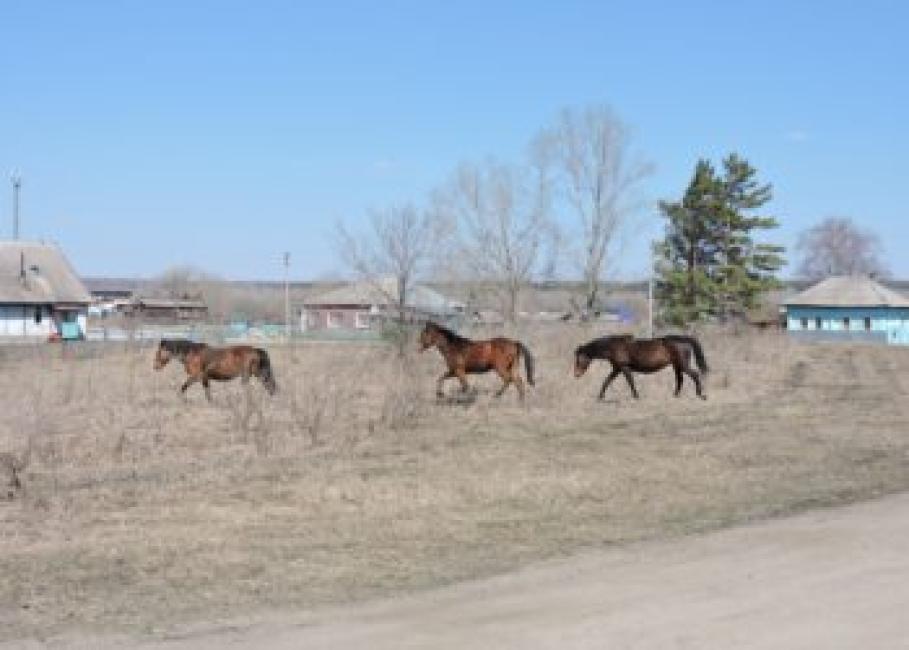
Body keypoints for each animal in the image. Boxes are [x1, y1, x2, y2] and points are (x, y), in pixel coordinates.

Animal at [576, 336, 708, 398]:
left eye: (578, 359)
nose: (576, 374)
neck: (614, 346)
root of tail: (683, 339)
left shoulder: (624, 368)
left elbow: (630, 381)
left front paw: (636, 396)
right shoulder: (617, 369)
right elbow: (607, 381)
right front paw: (600, 397)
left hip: (683, 365)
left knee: (695, 375)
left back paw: (700, 394)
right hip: (677, 365)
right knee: (680, 380)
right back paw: (675, 395)